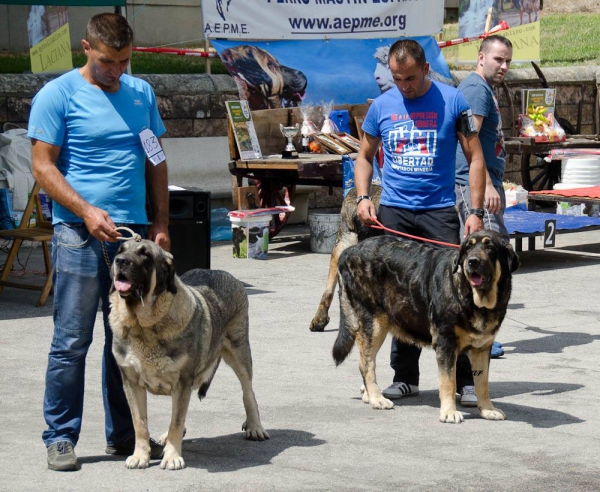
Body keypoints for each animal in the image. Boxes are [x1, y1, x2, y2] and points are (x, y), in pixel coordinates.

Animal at [109, 240, 268, 470]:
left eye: (145, 255)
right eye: (120, 250)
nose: (120, 261)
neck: (144, 327)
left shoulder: (182, 381)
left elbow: (176, 420)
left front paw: (172, 457)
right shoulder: (131, 382)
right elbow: (140, 422)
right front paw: (140, 456)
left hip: (239, 351)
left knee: (248, 391)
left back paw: (255, 426)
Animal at [332, 231, 520, 422]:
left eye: (489, 247)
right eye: (468, 247)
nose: (472, 261)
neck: (475, 300)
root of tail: (350, 250)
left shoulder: (482, 348)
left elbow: (482, 384)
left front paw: (487, 409)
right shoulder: (446, 343)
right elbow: (448, 382)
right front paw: (449, 412)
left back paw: (368, 394)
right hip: (374, 324)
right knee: (366, 364)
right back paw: (377, 398)